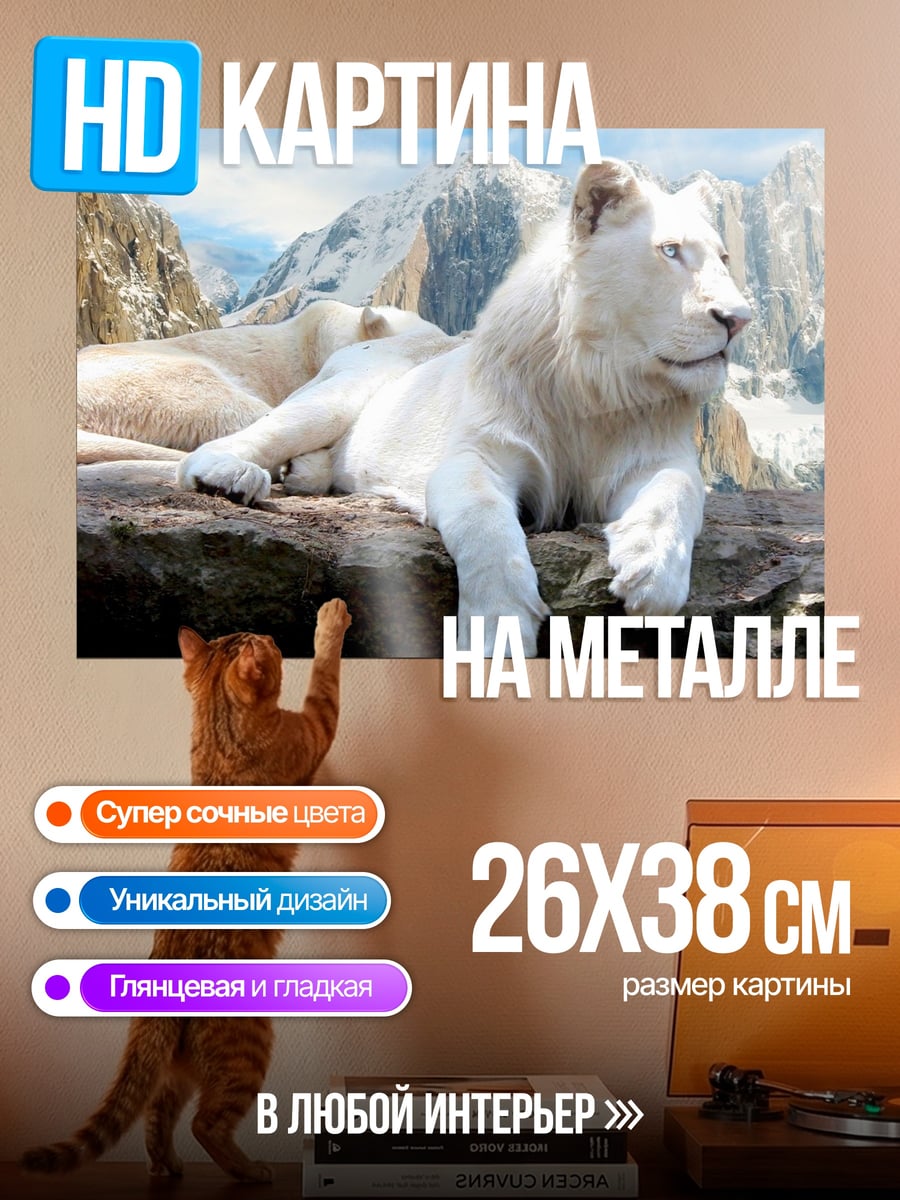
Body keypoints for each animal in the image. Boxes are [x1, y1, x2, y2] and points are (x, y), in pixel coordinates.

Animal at [174, 159, 751, 656]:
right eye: (670, 251)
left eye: (724, 259)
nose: (739, 319)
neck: (600, 382)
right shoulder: (478, 454)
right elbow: (486, 525)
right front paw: (498, 632)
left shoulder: (655, 457)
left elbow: (676, 491)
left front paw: (651, 573)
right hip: (336, 397)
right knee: (238, 440)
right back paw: (232, 476)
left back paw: (302, 474)